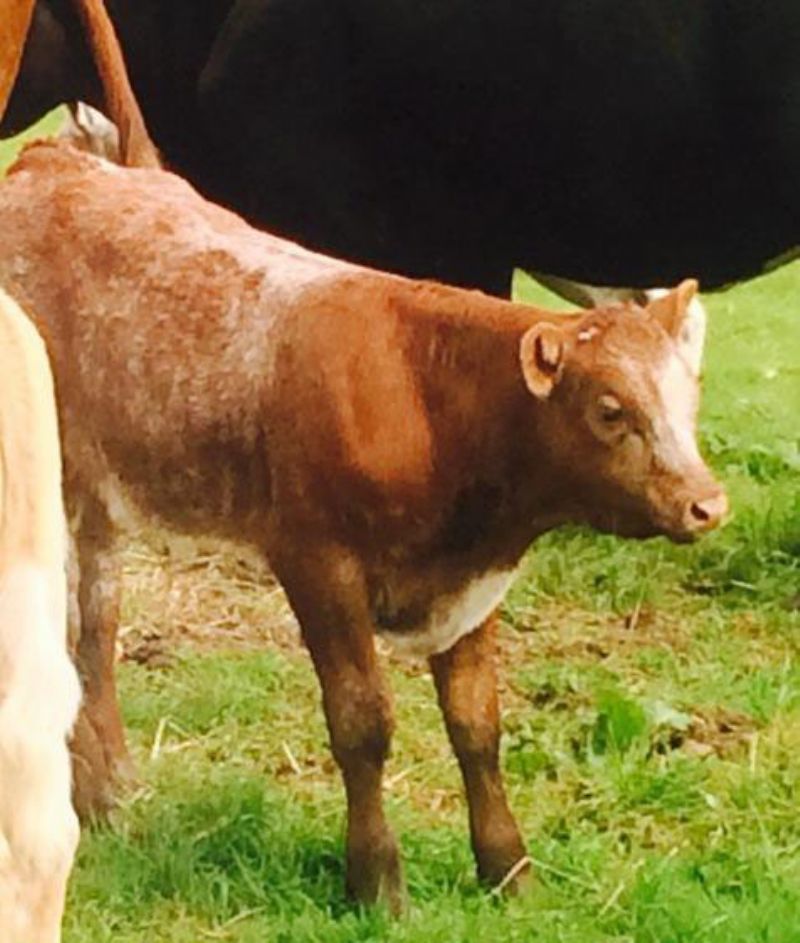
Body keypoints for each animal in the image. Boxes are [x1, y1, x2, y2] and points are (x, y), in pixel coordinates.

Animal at [0, 138, 727, 906]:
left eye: (689, 392)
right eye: (610, 409)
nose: (706, 502)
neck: (425, 397)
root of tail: (52, 160)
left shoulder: (474, 585)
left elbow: (477, 722)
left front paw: (508, 869)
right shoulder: (319, 562)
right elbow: (362, 722)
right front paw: (376, 879)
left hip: (97, 500)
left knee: (92, 631)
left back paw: (108, 793)